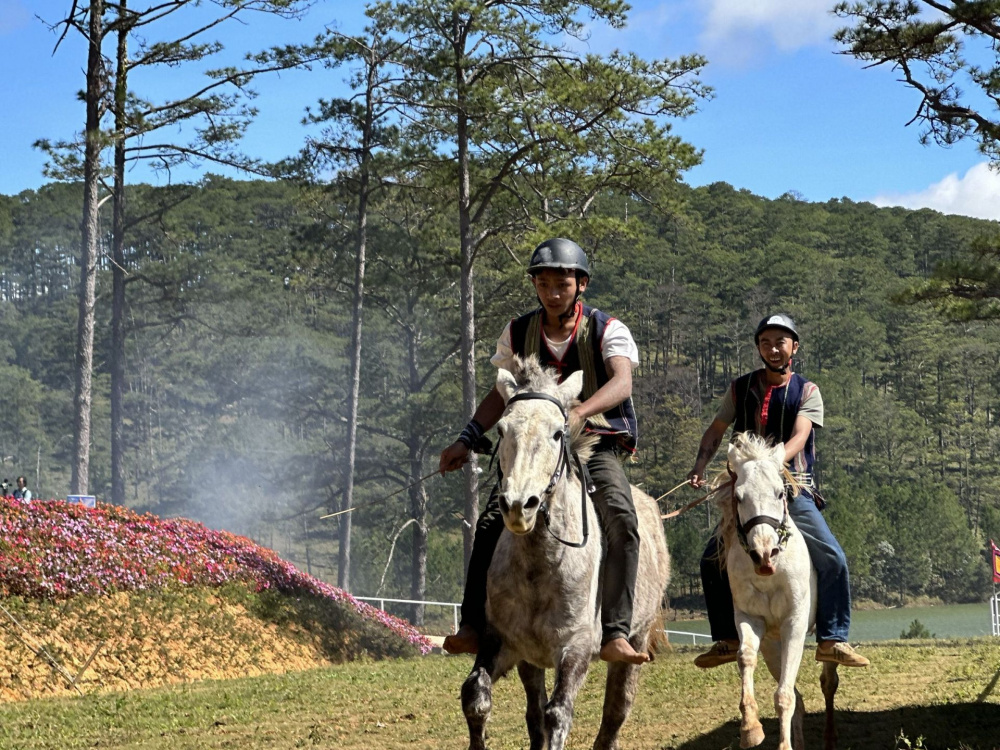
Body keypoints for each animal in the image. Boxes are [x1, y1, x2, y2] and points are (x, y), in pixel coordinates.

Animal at [460, 358, 672, 750]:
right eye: (502, 429)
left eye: (558, 433)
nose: (518, 505)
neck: (540, 564)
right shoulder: (503, 642)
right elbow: (476, 696)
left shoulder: (575, 648)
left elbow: (557, 715)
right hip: (530, 659)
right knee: (533, 711)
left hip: (635, 638)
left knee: (616, 710)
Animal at [724, 432, 840, 750]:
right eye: (738, 497)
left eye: (779, 493)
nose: (764, 553)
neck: (771, 573)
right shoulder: (750, 619)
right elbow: (746, 658)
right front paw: (750, 728)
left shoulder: (794, 624)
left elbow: (784, 695)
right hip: (772, 644)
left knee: (828, 681)